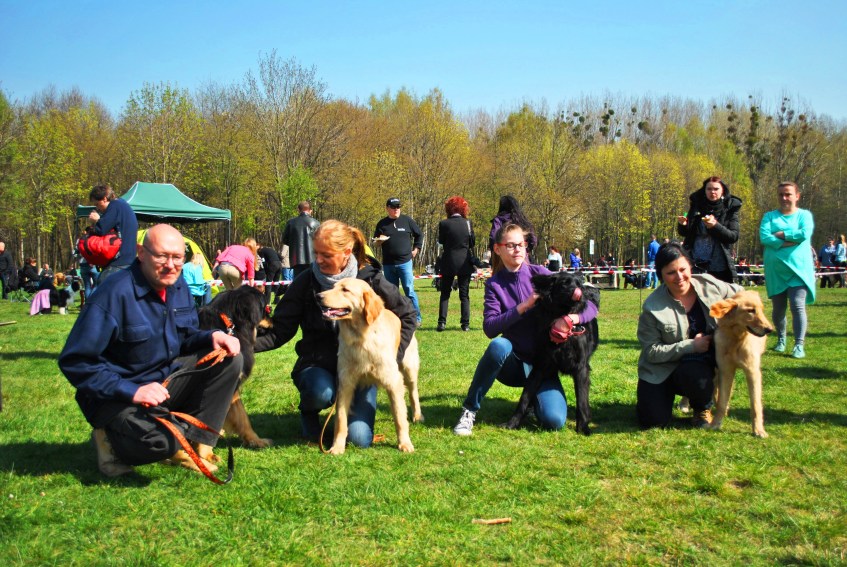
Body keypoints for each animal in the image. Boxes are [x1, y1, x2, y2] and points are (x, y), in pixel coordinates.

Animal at [318, 277, 423, 454]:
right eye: (333, 287)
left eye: (345, 290)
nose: (318, 296)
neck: (361, 337)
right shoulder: (345, 383)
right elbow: (341, 420)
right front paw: (337, 446)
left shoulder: (393, 382)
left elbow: (399, 417)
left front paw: (405, 443)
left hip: (409, 368)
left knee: (413, 392)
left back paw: (417, 416)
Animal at [504, 272, 600, 435]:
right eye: (564, 283)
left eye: (578, 284)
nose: (580, 292)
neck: (561, 315)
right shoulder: (540, 366)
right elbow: (524, 397)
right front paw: (512, 422)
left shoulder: (581, 368)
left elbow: (581, 399)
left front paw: (583, 427)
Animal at [707, 290, 774, 438]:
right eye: (750, 310)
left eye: (761, 309)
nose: (770, 329)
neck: (736, 340)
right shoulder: (725, 369)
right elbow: (721, 401)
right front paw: (715, 424)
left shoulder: (752, 371)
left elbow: (755, 405)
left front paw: (758, 430)